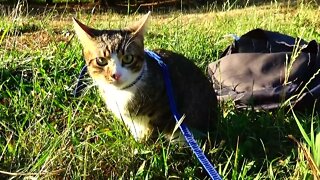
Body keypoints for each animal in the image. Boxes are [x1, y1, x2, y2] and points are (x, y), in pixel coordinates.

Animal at [72, 11, 218, 143]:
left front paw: (145, 144)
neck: (124, 92)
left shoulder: (167, 106)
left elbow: (155, 129)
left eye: (128, 58)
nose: (115, 75)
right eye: (101, 60)